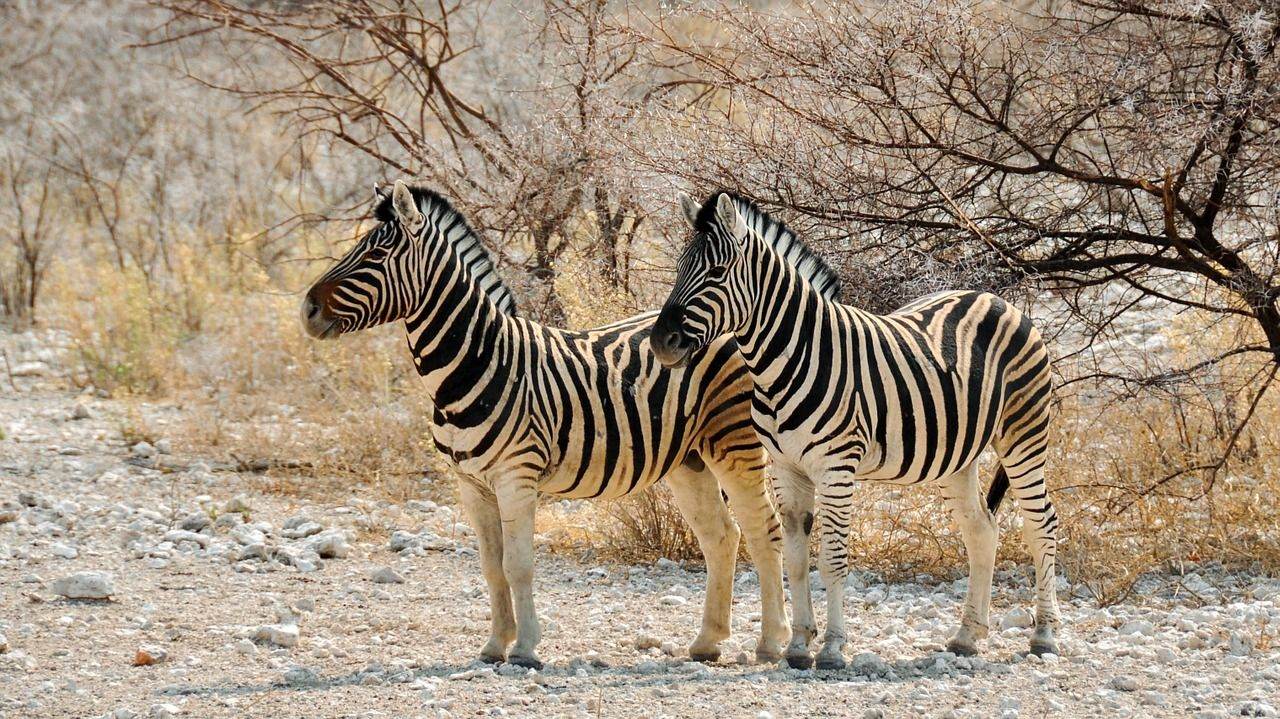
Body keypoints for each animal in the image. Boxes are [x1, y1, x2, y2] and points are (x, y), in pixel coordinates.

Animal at [300, 179, 788, 665]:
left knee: (763, 530)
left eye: (375, 254)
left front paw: (525, 647)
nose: (306, 310)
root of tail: (739, 325)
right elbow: (490, 567)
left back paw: (772, 642)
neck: (476, 362)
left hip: (734, 442)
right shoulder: (470, 484)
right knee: (721, 536)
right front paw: (495, 645)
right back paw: (708, 641)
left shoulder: (516, 475)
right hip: (688, 459)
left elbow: (518, 565)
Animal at [650, 190, 1059, 665]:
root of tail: (993, 298)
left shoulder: (836, 466)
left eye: (716, 272)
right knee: (982, 530)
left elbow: (832, 559)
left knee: (1041, 524)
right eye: (679, 268)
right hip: (958, 456)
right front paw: (797, 646)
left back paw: (1044, 634)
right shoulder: (787, 468)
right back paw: (967, 636)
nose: (661, 342)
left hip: (1024, 434)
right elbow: (795, 558)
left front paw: (831, 647)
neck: (788, 360)